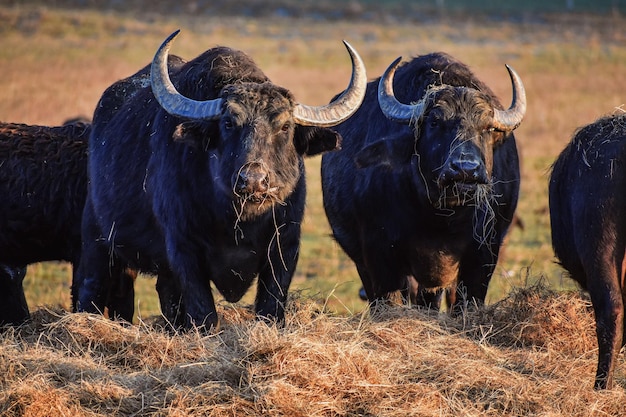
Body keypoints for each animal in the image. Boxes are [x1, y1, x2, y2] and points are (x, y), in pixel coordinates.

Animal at [73, 31, 366, 328]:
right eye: (228, 123)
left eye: (285, 126)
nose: (253, 180)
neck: (237, 222)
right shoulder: (184, 250)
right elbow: (204, 312)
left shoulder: (285, 247)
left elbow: (270, 308)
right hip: (96, 237)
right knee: (90, 286)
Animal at [320, 52, 524, 310]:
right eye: (435, 122)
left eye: (487, 128)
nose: (466, 169)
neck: (440, 219)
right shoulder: (379, 254)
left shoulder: (485, 252)